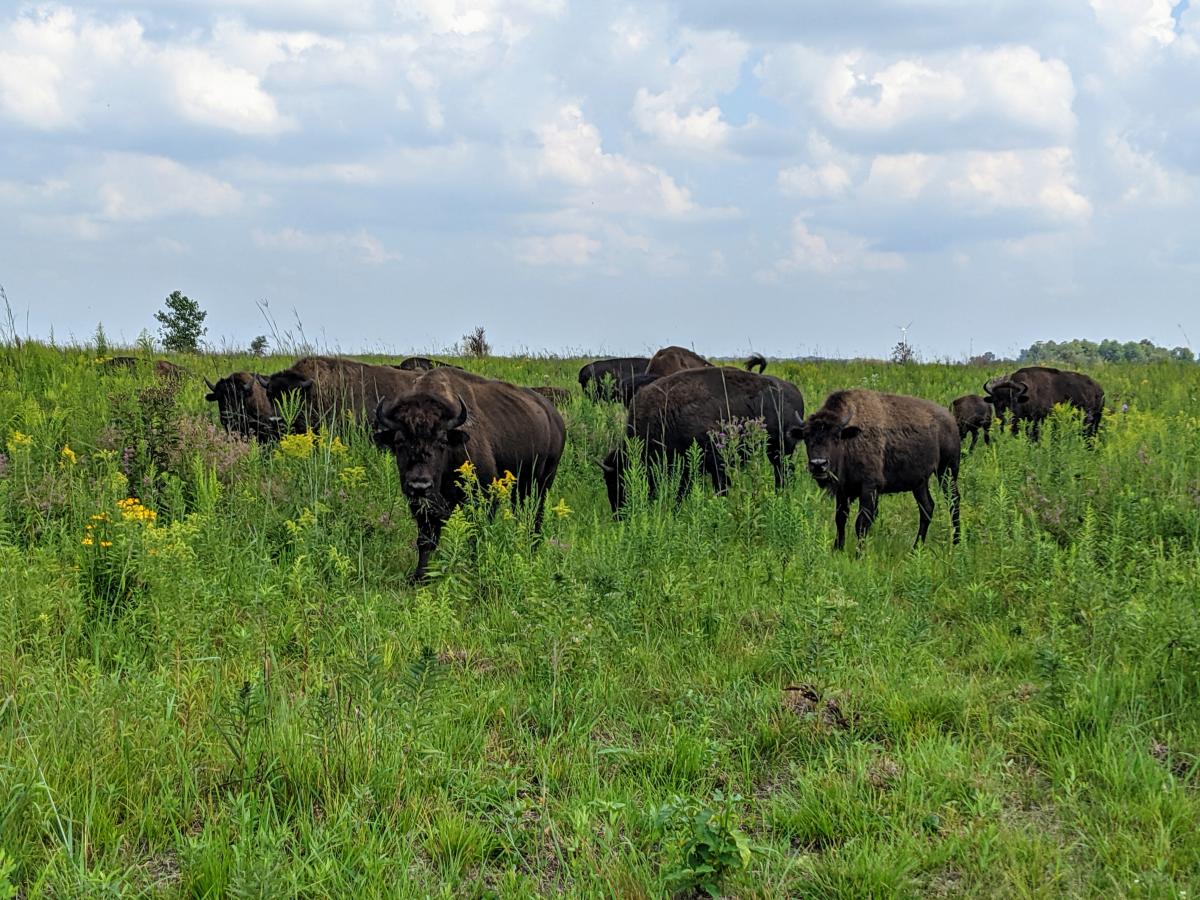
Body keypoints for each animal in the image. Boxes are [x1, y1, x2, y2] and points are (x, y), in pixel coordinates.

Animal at [372, 367, 564, 585]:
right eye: (399, 442)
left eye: (442, 441)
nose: (420, 485)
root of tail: (554, 416)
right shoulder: (421, 507)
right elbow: (425, 540)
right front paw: (419, 577)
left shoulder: (484, 498)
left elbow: (475, 535)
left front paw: (475, 569)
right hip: (520, 487)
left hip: (543, 482)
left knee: (537, 515)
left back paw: (532, 549)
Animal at [600, 367, 806, 513]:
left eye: (619, 479)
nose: (618, 514)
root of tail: (793, 390)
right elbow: (683, 489)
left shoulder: (714, 460)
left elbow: (719, 486)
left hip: (779, 448)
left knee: (783, 471)